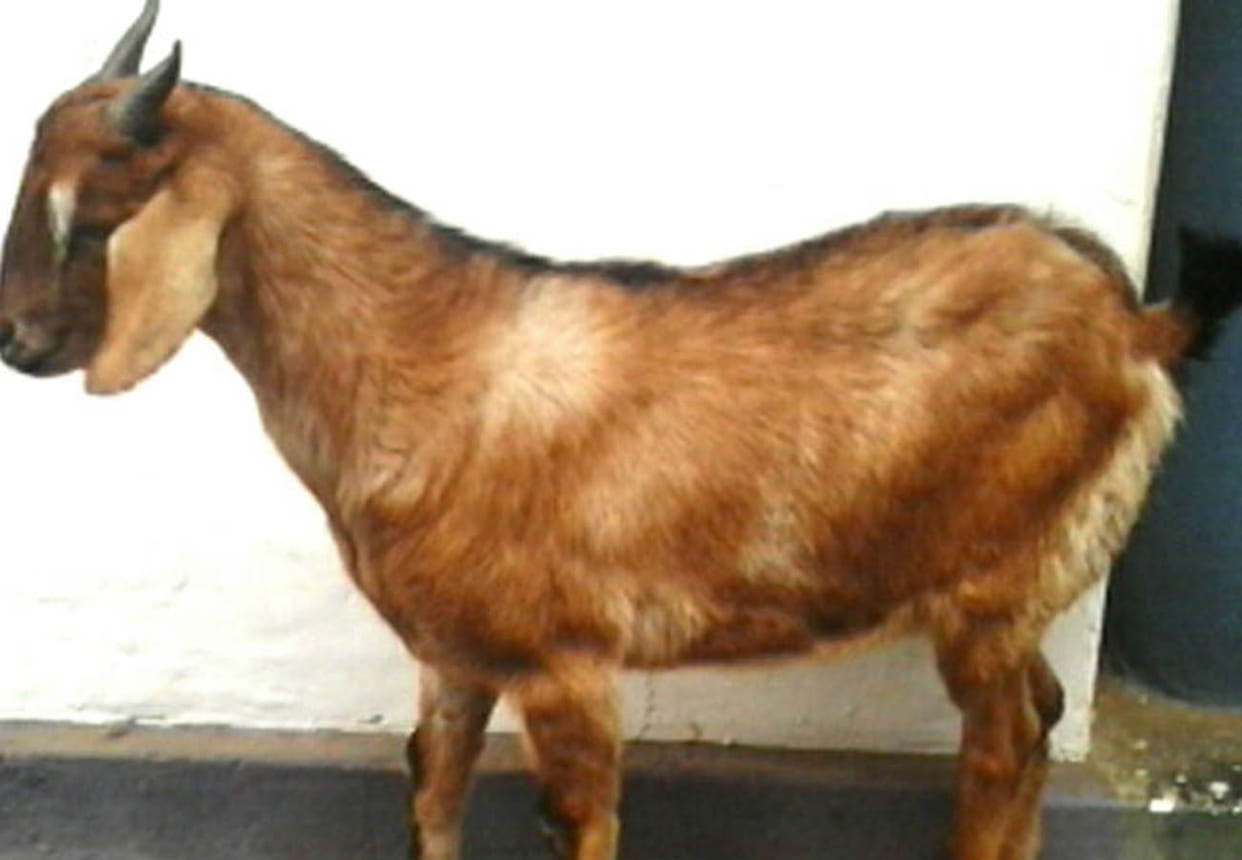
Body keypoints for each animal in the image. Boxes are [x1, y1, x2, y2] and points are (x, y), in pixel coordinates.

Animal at [4, 3, 1241, 859]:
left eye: (89, 216)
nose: (15, 341)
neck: (428, 352)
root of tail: (1137, 322)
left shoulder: (567, 663)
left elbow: (576, 819)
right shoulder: (454, 652)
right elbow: (431, 787)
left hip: (991, 579)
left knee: (1007, 738)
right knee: (1037, 717)